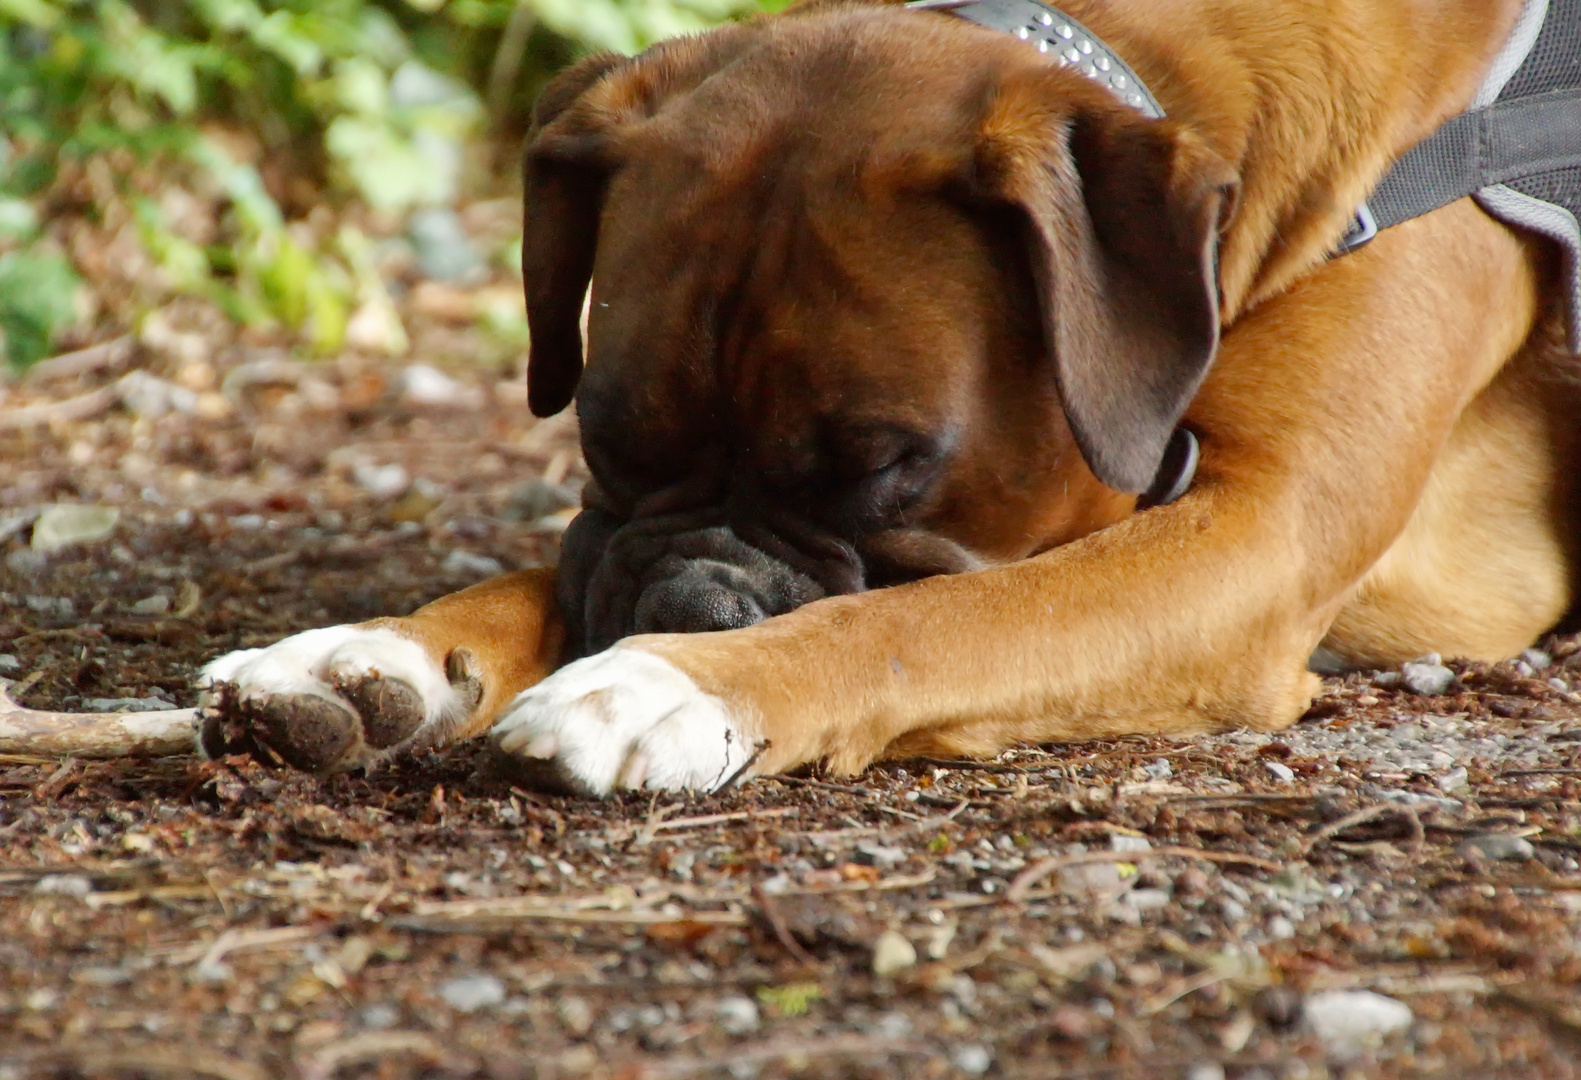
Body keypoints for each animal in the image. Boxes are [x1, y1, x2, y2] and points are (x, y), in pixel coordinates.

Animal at [197, 0, 1581, 793]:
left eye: (886, 470)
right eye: (607, 441)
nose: (692, 595)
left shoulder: (1256, 535)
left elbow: (926, 619)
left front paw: (673, 682)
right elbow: (544, 569)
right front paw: (366, 650)